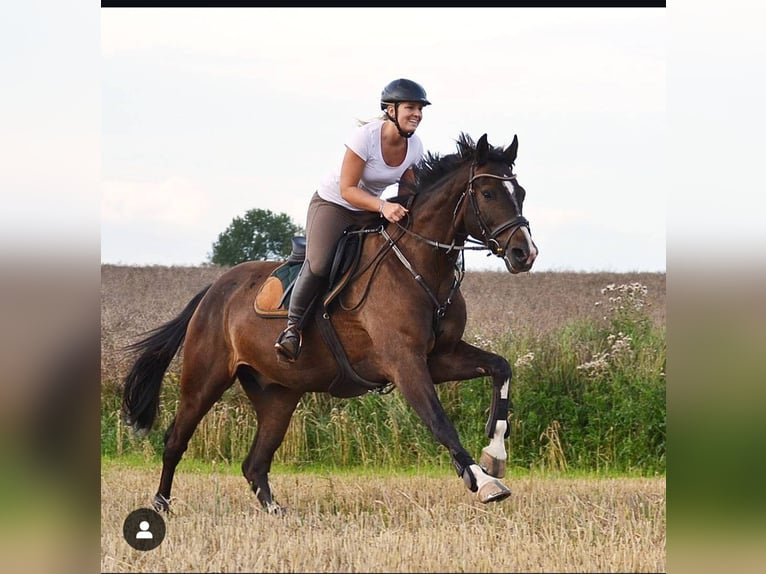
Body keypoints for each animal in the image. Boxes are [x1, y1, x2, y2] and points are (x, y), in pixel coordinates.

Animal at [121, 133, 540, 516]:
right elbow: (440, 421)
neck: (420, 265)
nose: (526, 253)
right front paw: (483, 481)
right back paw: (160, 505)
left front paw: (494, 455)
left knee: (255, 463)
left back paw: (276, 511)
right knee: (176, 439)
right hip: (205, 378)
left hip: (279, 393)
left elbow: (501, 368)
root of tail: (212, 290)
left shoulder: (440, 357)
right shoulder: (404, 362)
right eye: (487, 193)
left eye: (519, 191)